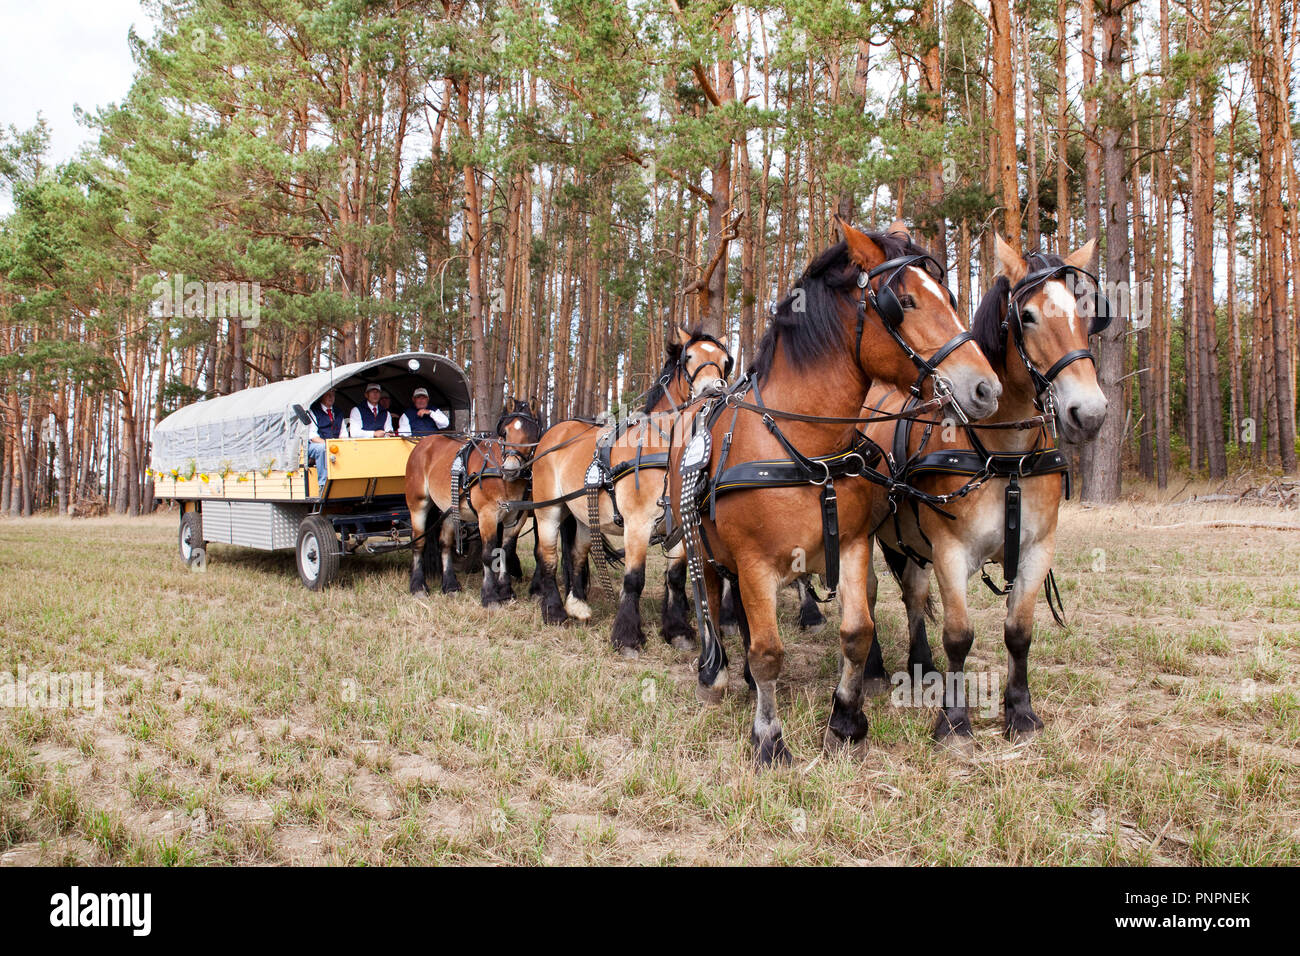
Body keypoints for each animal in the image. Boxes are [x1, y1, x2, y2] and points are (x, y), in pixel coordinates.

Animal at [404, 399, 544, 605]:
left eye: (531, 434)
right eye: (505, 433)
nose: (510, 469)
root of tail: (424, 442)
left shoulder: (516, 517)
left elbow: (505, 551)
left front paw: (506, 592)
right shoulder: (487, 515)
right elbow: (488, 554)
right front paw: (490, 596)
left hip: (449, 509)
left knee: (445, 545)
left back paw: (450, 586)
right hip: (418, 504)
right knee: (418, 543)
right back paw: (418, 587)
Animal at [529, 327, 734, 655]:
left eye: (725, 361)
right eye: (688, 356)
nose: (713, 389)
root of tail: (554, 432)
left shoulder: (676, 526)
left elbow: (675, 577)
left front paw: (678, 630)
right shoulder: (637, 523)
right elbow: (634, 579)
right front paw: (627, 637)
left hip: (584, 516)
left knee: (576, 555)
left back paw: (577, 605)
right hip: (548, 509)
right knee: (546, 556)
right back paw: (555, 612)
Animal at [668, 219, 1002, 765]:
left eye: (949, 296)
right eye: (904, 302)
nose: (986, 389)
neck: (806, 448)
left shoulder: (850, 545)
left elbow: (856, 633)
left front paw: (846, 719)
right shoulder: (755, 561)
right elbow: (767, 652)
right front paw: (768, 739)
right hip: (708, 549)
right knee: (715, 602)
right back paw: (714, 674)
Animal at [860, 236, 1110, 751]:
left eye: (1086, 312)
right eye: (1027, 316)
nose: (1090, 413)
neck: (1004, 457)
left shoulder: (1037, 550)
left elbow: (1019, 632)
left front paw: (1021, 713)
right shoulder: (951, 551)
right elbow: (959, 635)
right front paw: (954, 722)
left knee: (913, 593)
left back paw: (922, 669)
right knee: (870, 593)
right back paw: (874, 670)